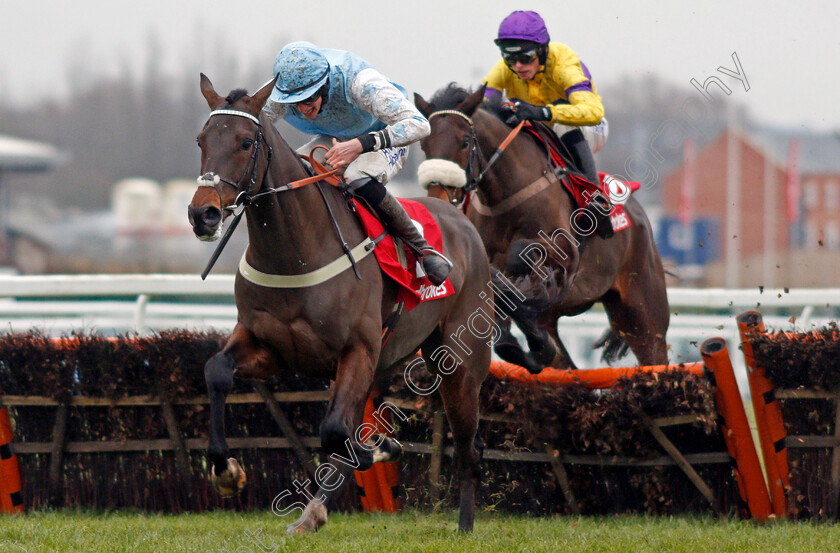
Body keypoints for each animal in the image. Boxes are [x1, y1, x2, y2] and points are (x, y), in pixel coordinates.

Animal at [189, 74, 492, 532]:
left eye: (244, 142)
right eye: (202, 140)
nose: (202, 214)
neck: (295, 252)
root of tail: (461, 219)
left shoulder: (359, 350)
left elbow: (335, 429)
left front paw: (379, 449)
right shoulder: (270, 346)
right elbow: (216, 371)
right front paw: (226, 471)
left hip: (460, 360)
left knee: (469, 445)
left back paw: (465, 526)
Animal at [416, 84, 668, 374]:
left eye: (464, 142)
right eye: (424, 146)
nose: (439, 198)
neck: (508, 196)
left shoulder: (565, 253)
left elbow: (518, 256)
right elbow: (504, 318)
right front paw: (533, 346)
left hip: (643, 312)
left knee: (654, 353)